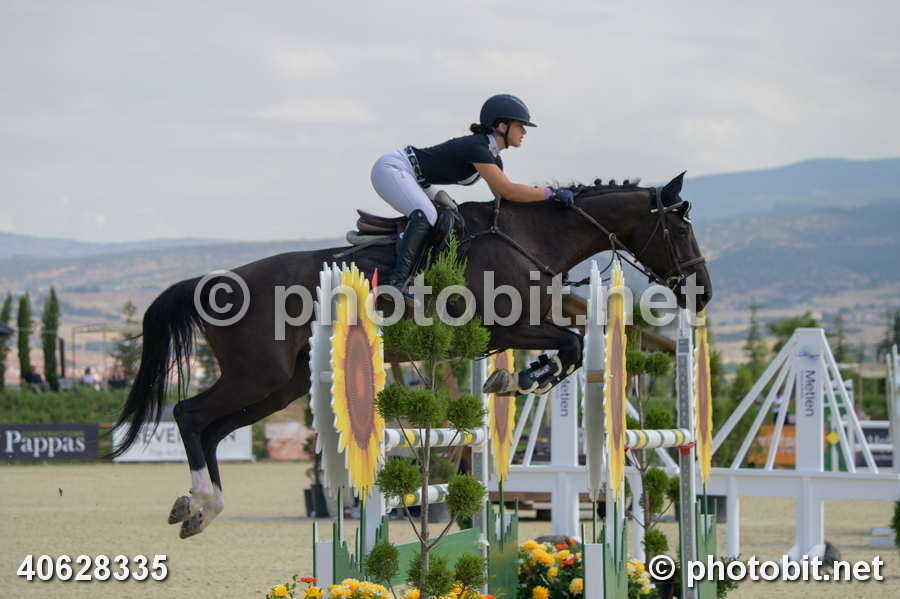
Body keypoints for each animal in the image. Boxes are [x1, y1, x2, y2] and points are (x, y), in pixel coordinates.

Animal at [110, 172, 711, 538]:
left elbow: (568, 345)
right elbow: (566, 343)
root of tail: (211, 283)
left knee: (212, 429)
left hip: (277, 386)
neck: (531, 239)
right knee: (191, 416)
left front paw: (516, 380)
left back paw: (199, 508)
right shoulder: (511, 325)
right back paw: (199, 503)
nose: (702, 291)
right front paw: (522, 380)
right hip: (258, 375)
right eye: (681, 227)